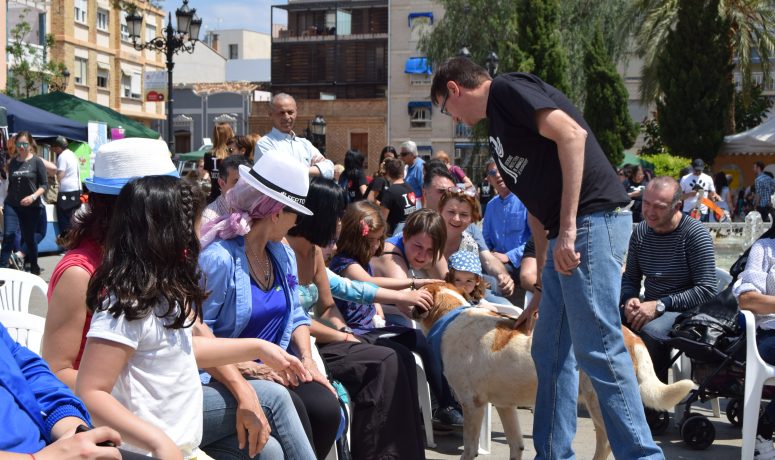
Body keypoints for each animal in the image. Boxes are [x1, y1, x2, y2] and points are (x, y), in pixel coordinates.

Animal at [418, 284, 696, 460]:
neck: (451, 316)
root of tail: (631, 336)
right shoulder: (505, 406)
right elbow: (516, 445)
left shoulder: (472, 405)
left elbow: (469, 449)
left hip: (599, 402)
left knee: (609, 441)